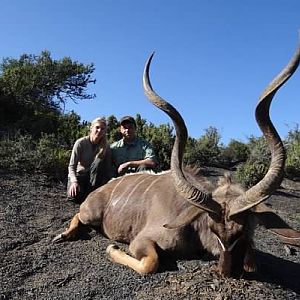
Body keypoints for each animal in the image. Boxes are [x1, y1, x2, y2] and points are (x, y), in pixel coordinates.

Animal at [54, 38, 300, 278]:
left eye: (241, 231)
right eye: (213, 229)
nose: (226, 271)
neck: (194, 227)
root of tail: (99, 190)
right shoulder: (141, 241)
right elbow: (150, 263)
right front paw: (112, 248)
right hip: (91, 214)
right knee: (78, 215)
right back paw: (64, 235)